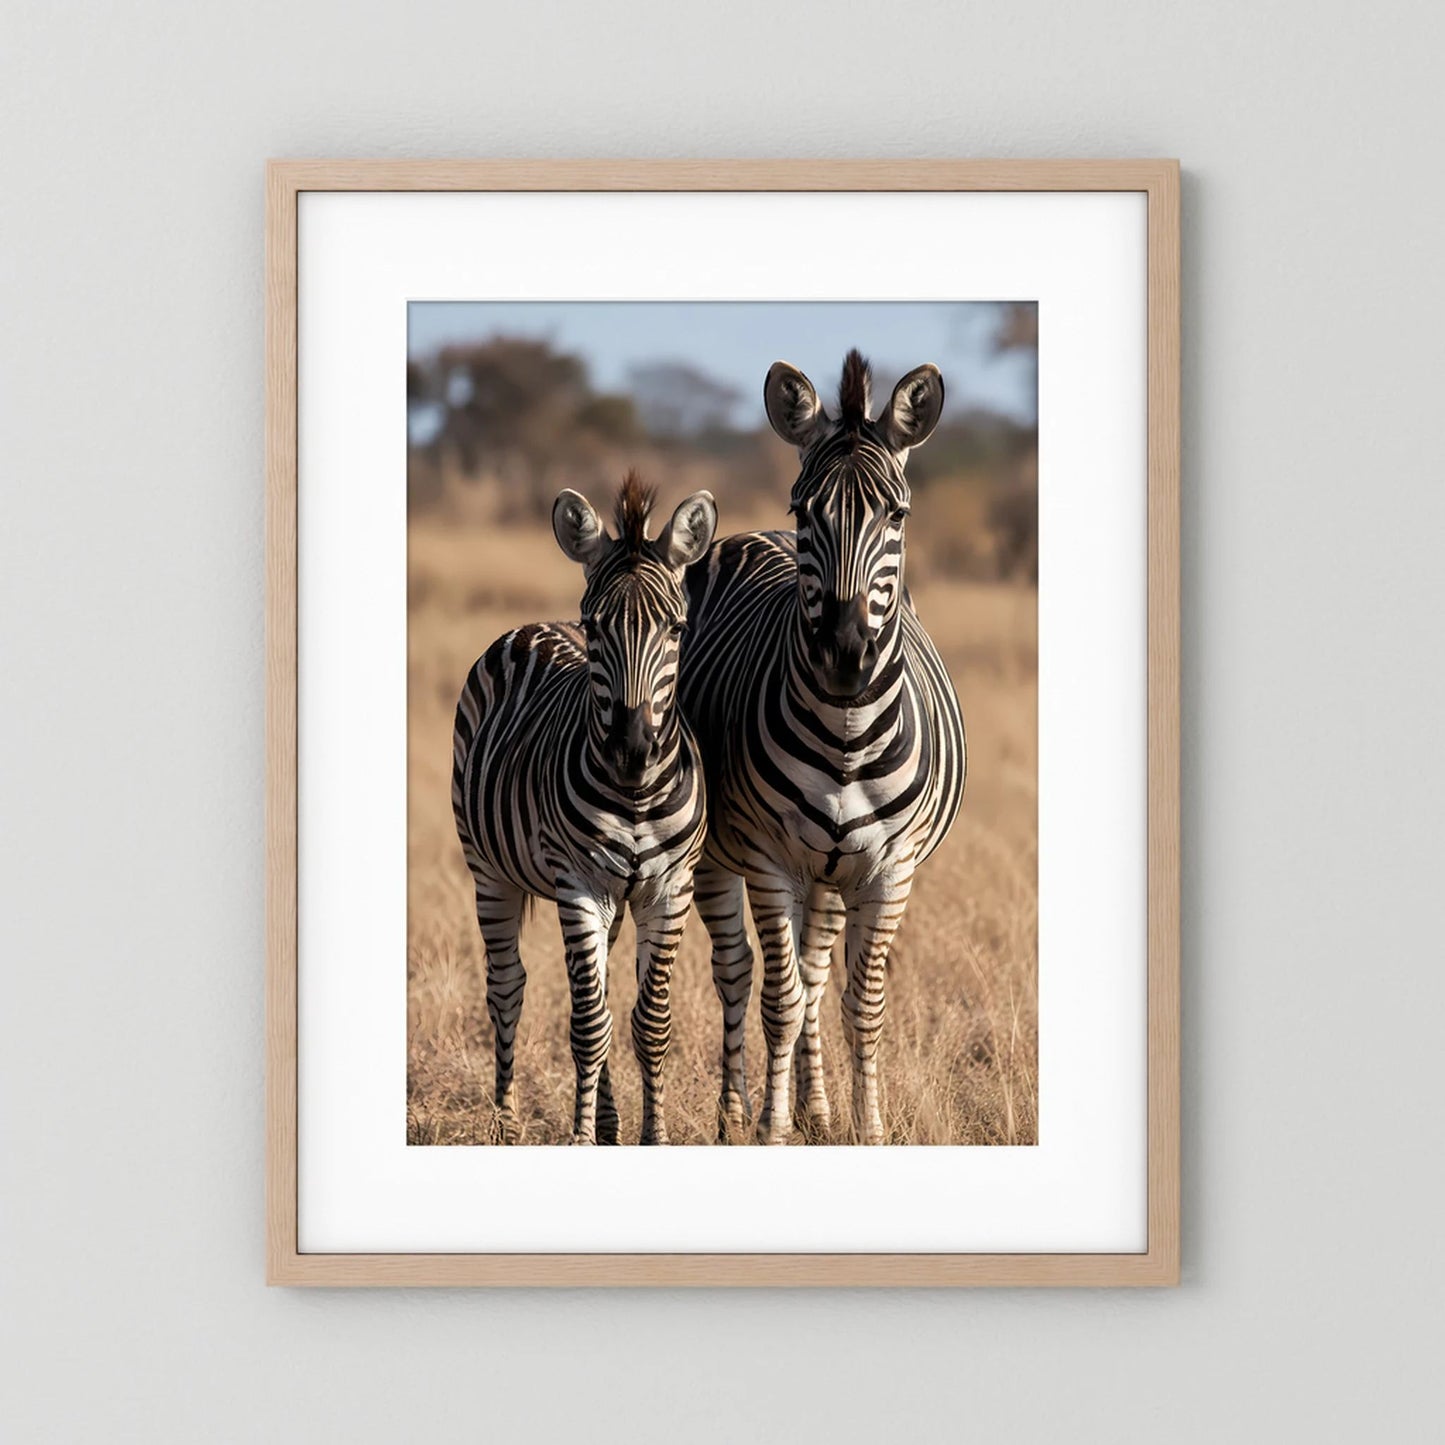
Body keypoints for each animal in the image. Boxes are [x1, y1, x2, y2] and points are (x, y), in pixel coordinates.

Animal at [452, 473, 717, 1144]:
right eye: (595, 628)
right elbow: (589, 1025)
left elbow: (648, 1022)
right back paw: (507, 1124)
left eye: (677, 629)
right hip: (487, 869)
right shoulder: (579, 885)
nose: (632, 747)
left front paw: (651, 1136)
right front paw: (575, 1137)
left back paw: (609, 1121)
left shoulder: (670, 888)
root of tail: (532, 627)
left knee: (596, 988)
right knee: (507, 988)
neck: (636, 794)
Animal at [680, 351, 966, 1145]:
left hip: (832, 874)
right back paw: (735, 1113)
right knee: (738, 973)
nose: (844, 652)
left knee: (812, 976)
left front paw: (866, 1129)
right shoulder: (767, 859)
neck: (846, 733)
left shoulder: (889, 871)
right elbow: (776, 999)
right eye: (804, 510)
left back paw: (818, 1108)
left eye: (897, 514)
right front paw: (770, 1129)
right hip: (721, 857)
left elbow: (857, 1007)